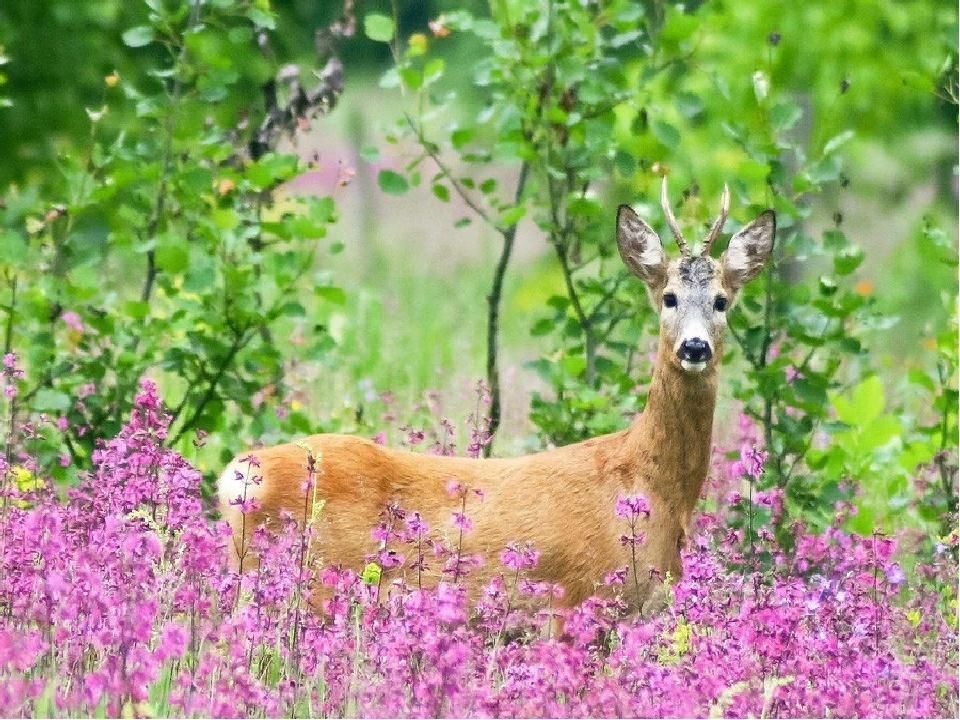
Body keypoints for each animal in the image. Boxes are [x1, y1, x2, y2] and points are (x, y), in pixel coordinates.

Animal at [218, 179, 772, 612]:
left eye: (722, 301)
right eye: (669, 297)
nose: (695, 347)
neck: (646, 484)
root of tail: (237, 476)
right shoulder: (577, 598)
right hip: (311, 581)